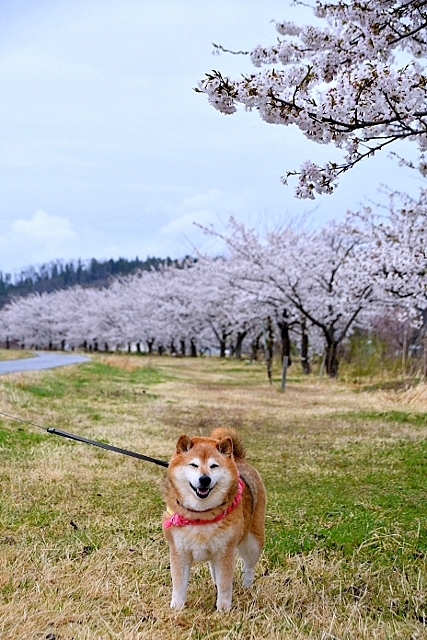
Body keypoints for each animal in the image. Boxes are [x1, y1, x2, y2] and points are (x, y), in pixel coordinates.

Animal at [163, 428, 266, 612]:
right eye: (193, 465)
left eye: (214, 466)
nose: (205, 479)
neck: (201, 514)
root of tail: (238, 459)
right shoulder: (179, 551)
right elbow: (179, 584)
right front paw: (176, 608)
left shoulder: (225, 551)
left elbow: (225, 585)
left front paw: (223, 610)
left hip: (252, 543)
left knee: (249, 567)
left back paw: (247, 587)